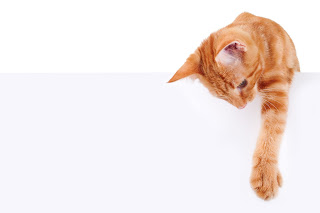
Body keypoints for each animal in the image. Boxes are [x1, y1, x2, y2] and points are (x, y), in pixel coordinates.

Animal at [168, 12, 300, 200]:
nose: (242, 107)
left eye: (242, 84)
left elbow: (271, 131)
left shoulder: (276, 91)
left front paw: (265, 172)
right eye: (223, 97)